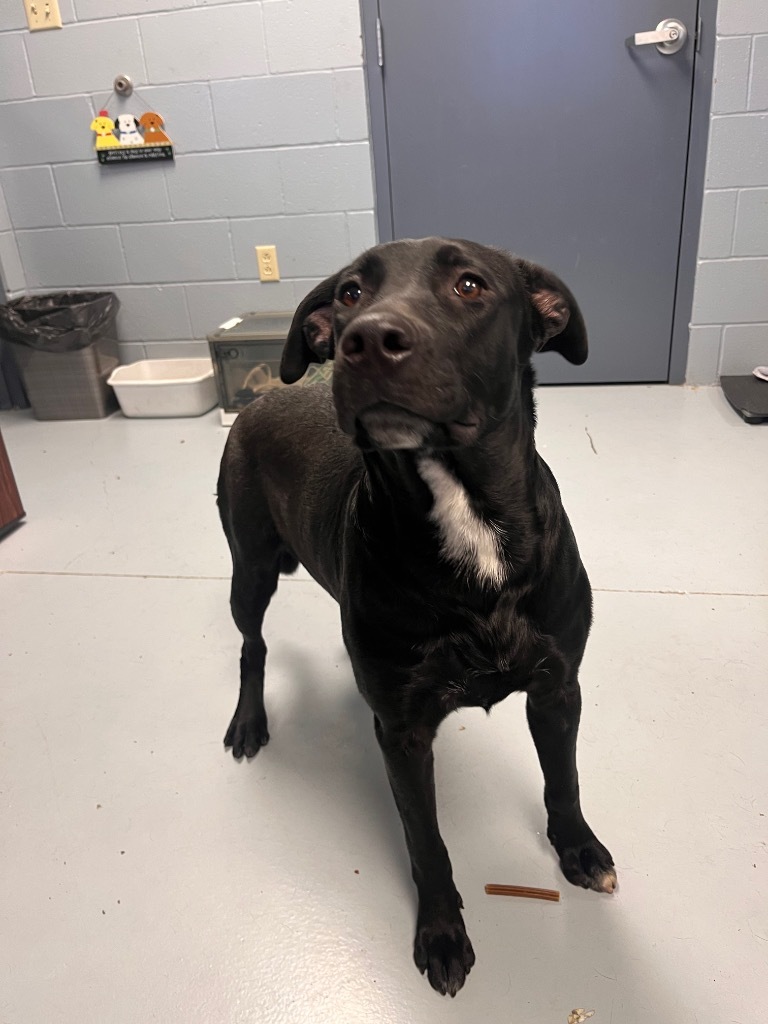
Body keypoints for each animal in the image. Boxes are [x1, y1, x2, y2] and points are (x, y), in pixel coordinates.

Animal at [218, 237, 618, 991]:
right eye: (349, 294)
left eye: (470, 285)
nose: (368, 339)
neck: (466, 512)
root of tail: (265, 394)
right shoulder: (403, 734)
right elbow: (425, 838)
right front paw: (440, 931)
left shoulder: (559, 688)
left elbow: (565, 781)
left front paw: (578, 848)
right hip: (248, 572)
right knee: (253, 647)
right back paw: (249, 722)